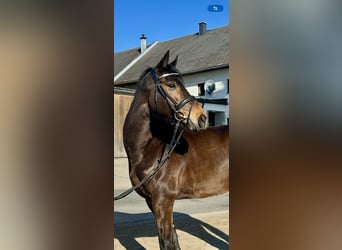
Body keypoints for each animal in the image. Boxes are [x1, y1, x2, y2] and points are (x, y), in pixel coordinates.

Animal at [123, 50, 230, 248]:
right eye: (172, 84)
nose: (201, 118)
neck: (151, 148)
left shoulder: (163, 201)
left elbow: (166, 241)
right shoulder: (153, 202)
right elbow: (170, 239)